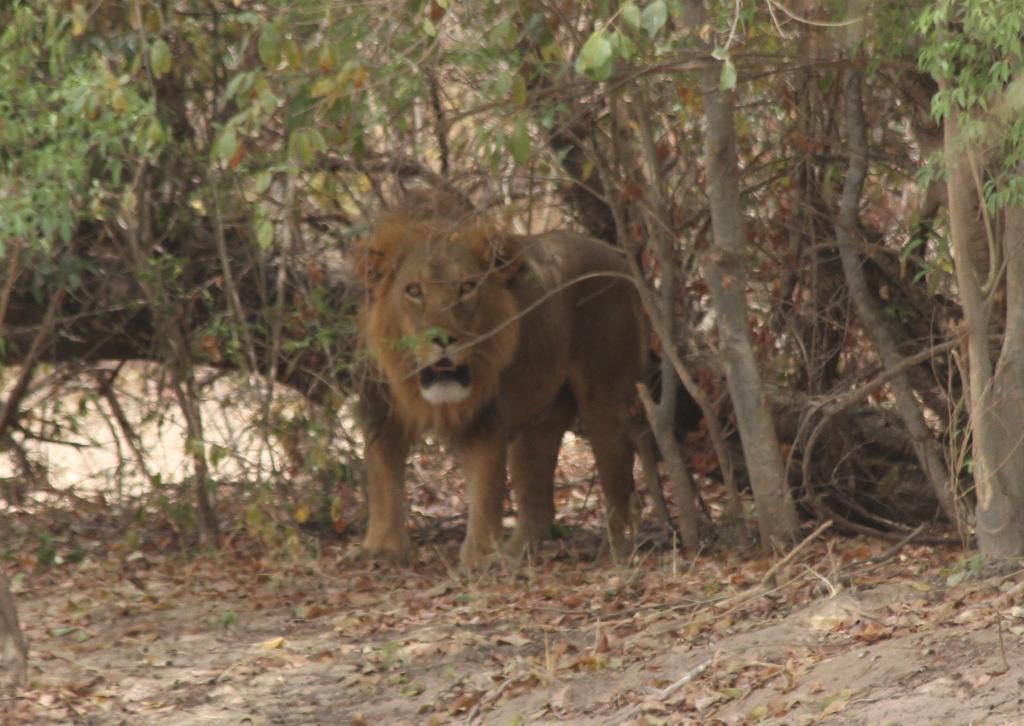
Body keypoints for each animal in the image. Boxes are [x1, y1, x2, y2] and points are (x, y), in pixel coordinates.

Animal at [355, 198, 647, 569]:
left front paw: (479, 558)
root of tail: (616, 255)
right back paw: (513, 556)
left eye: (467, 288)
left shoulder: (486, 419)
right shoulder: (382, 413)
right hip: (537, 423)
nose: (442, 339)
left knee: (620, 487)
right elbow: (383, 480)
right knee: (538, 507)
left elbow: (485, 490)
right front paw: (383, 550)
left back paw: (613, 555)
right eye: (413, 291)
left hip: (605, 400)